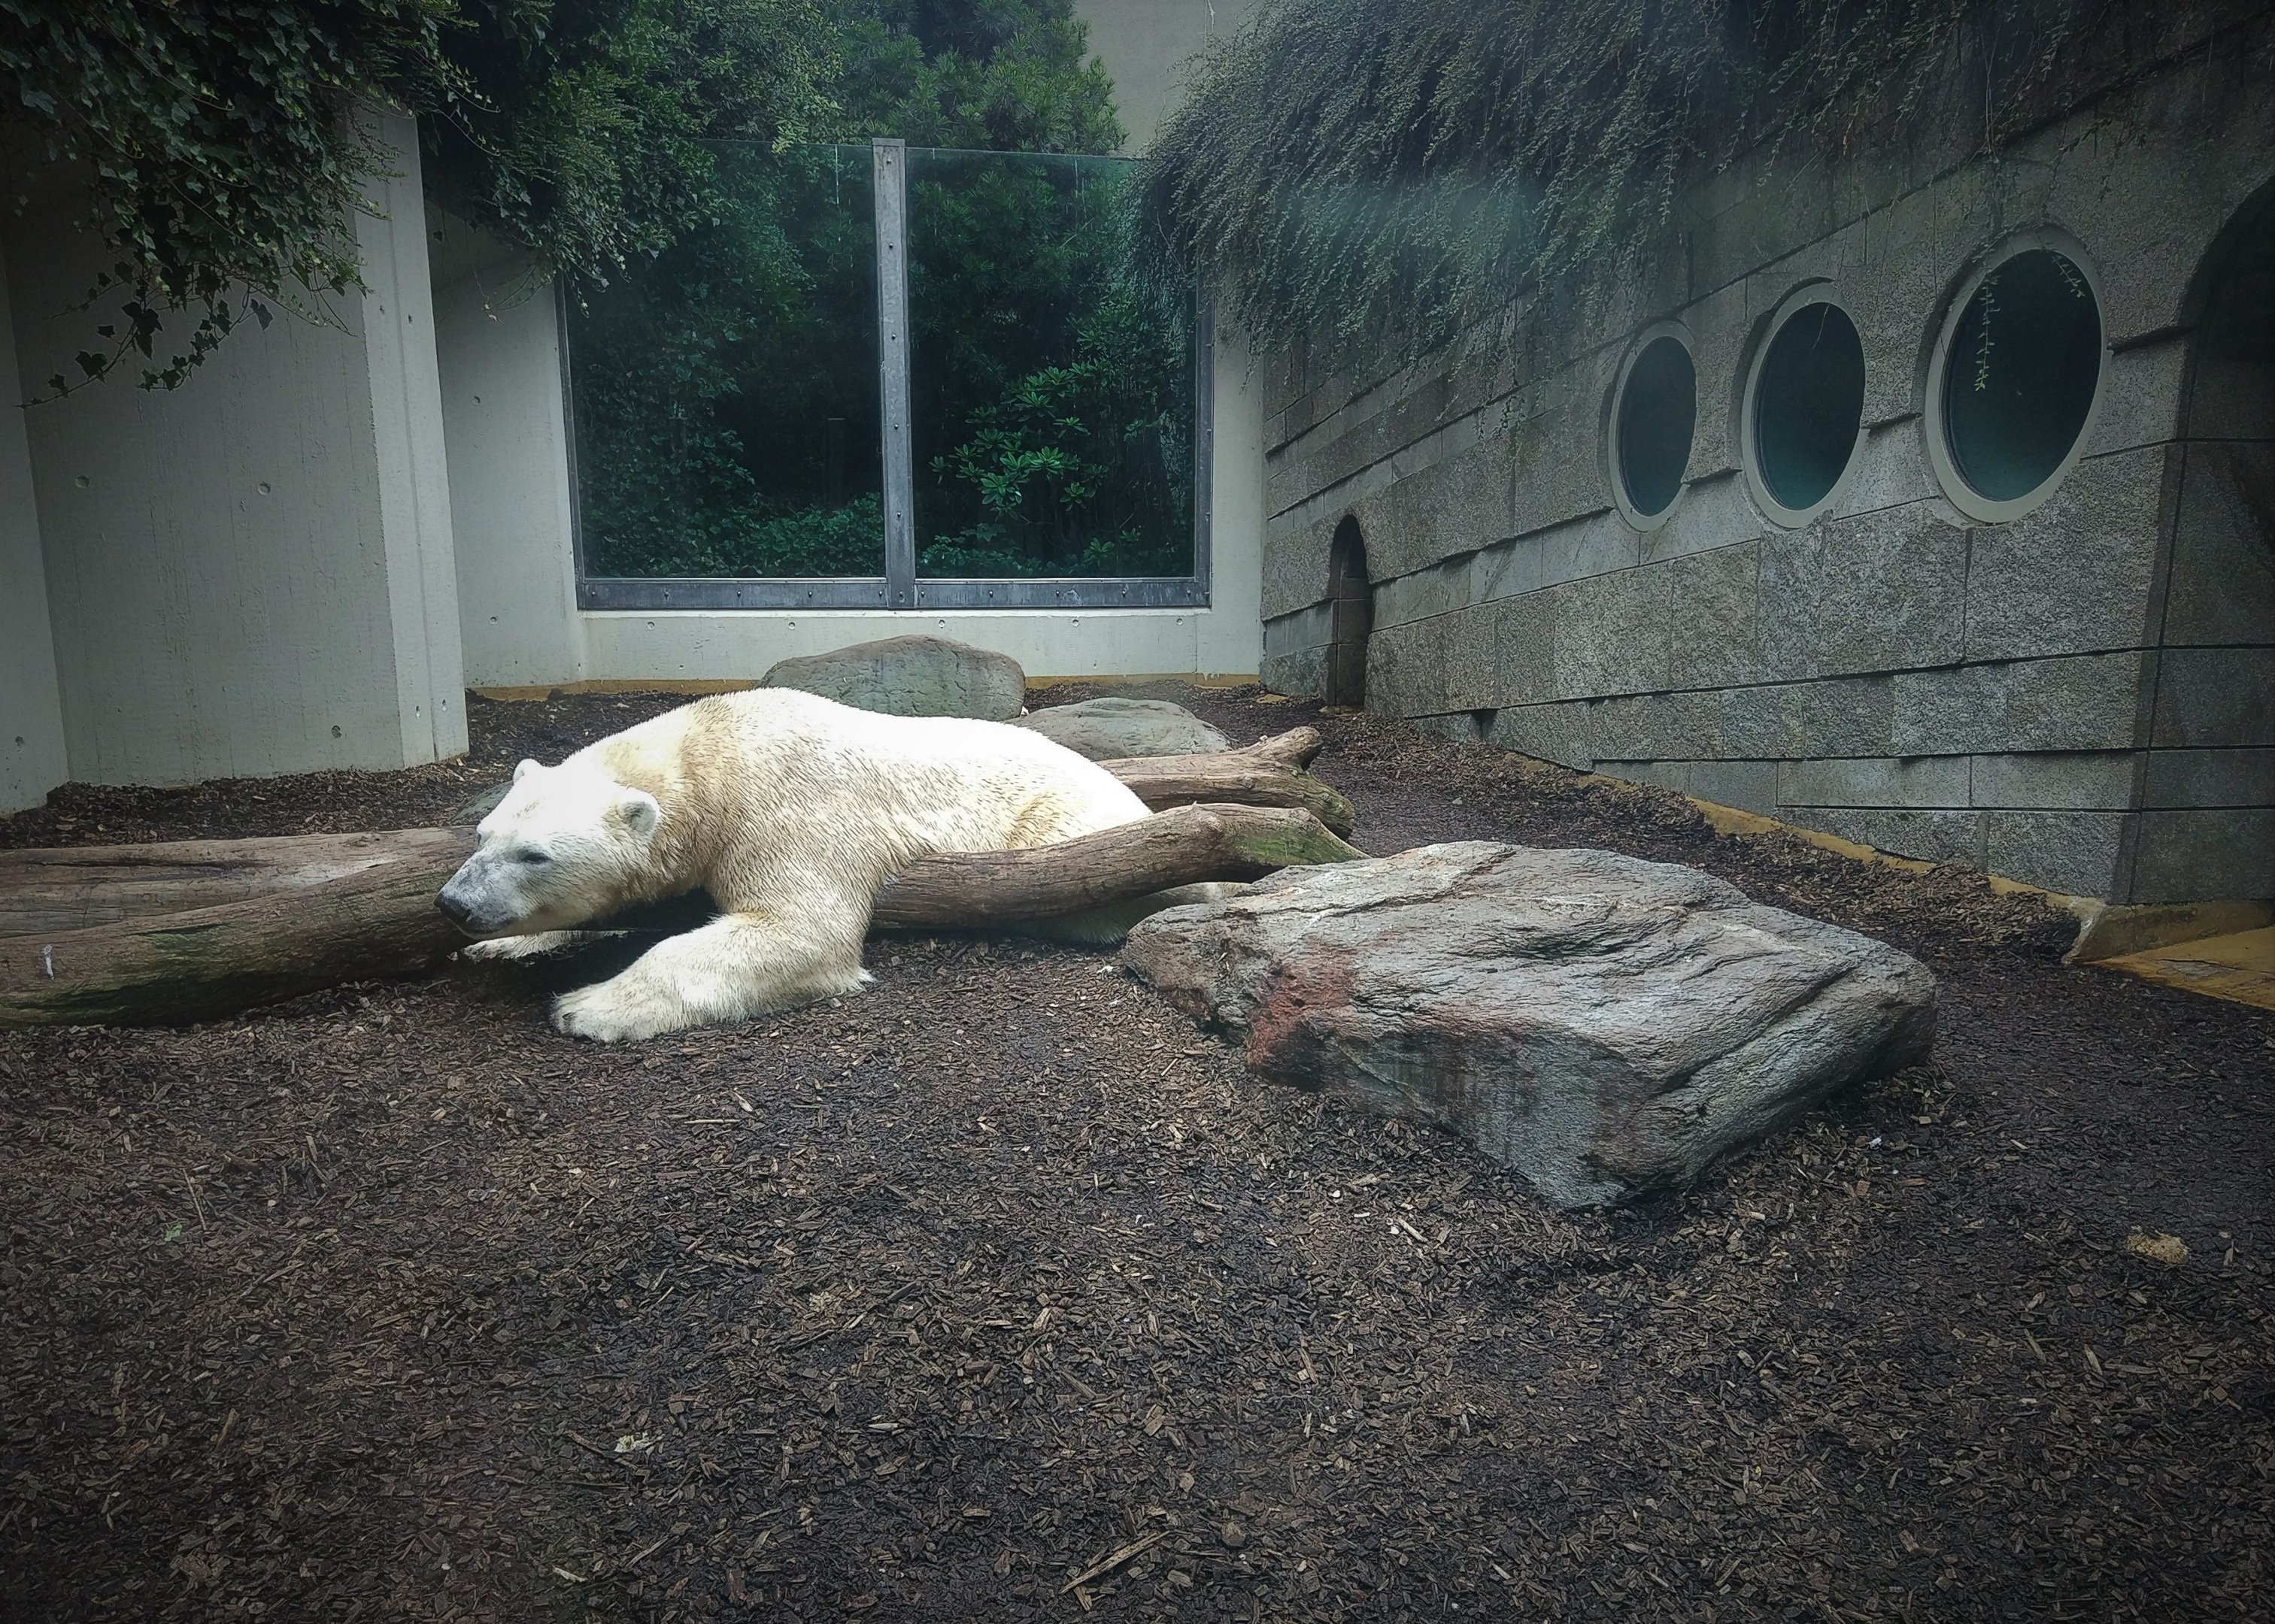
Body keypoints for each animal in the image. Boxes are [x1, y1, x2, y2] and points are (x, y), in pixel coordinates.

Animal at [435, 686, 1164, 1042]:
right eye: (484, 835)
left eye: (535, 855)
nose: (455, 904)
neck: (711, 749)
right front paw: (499, 945)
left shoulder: (782, 806)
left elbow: (800, 929)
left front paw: (586, 1005)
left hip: (1059, 819)